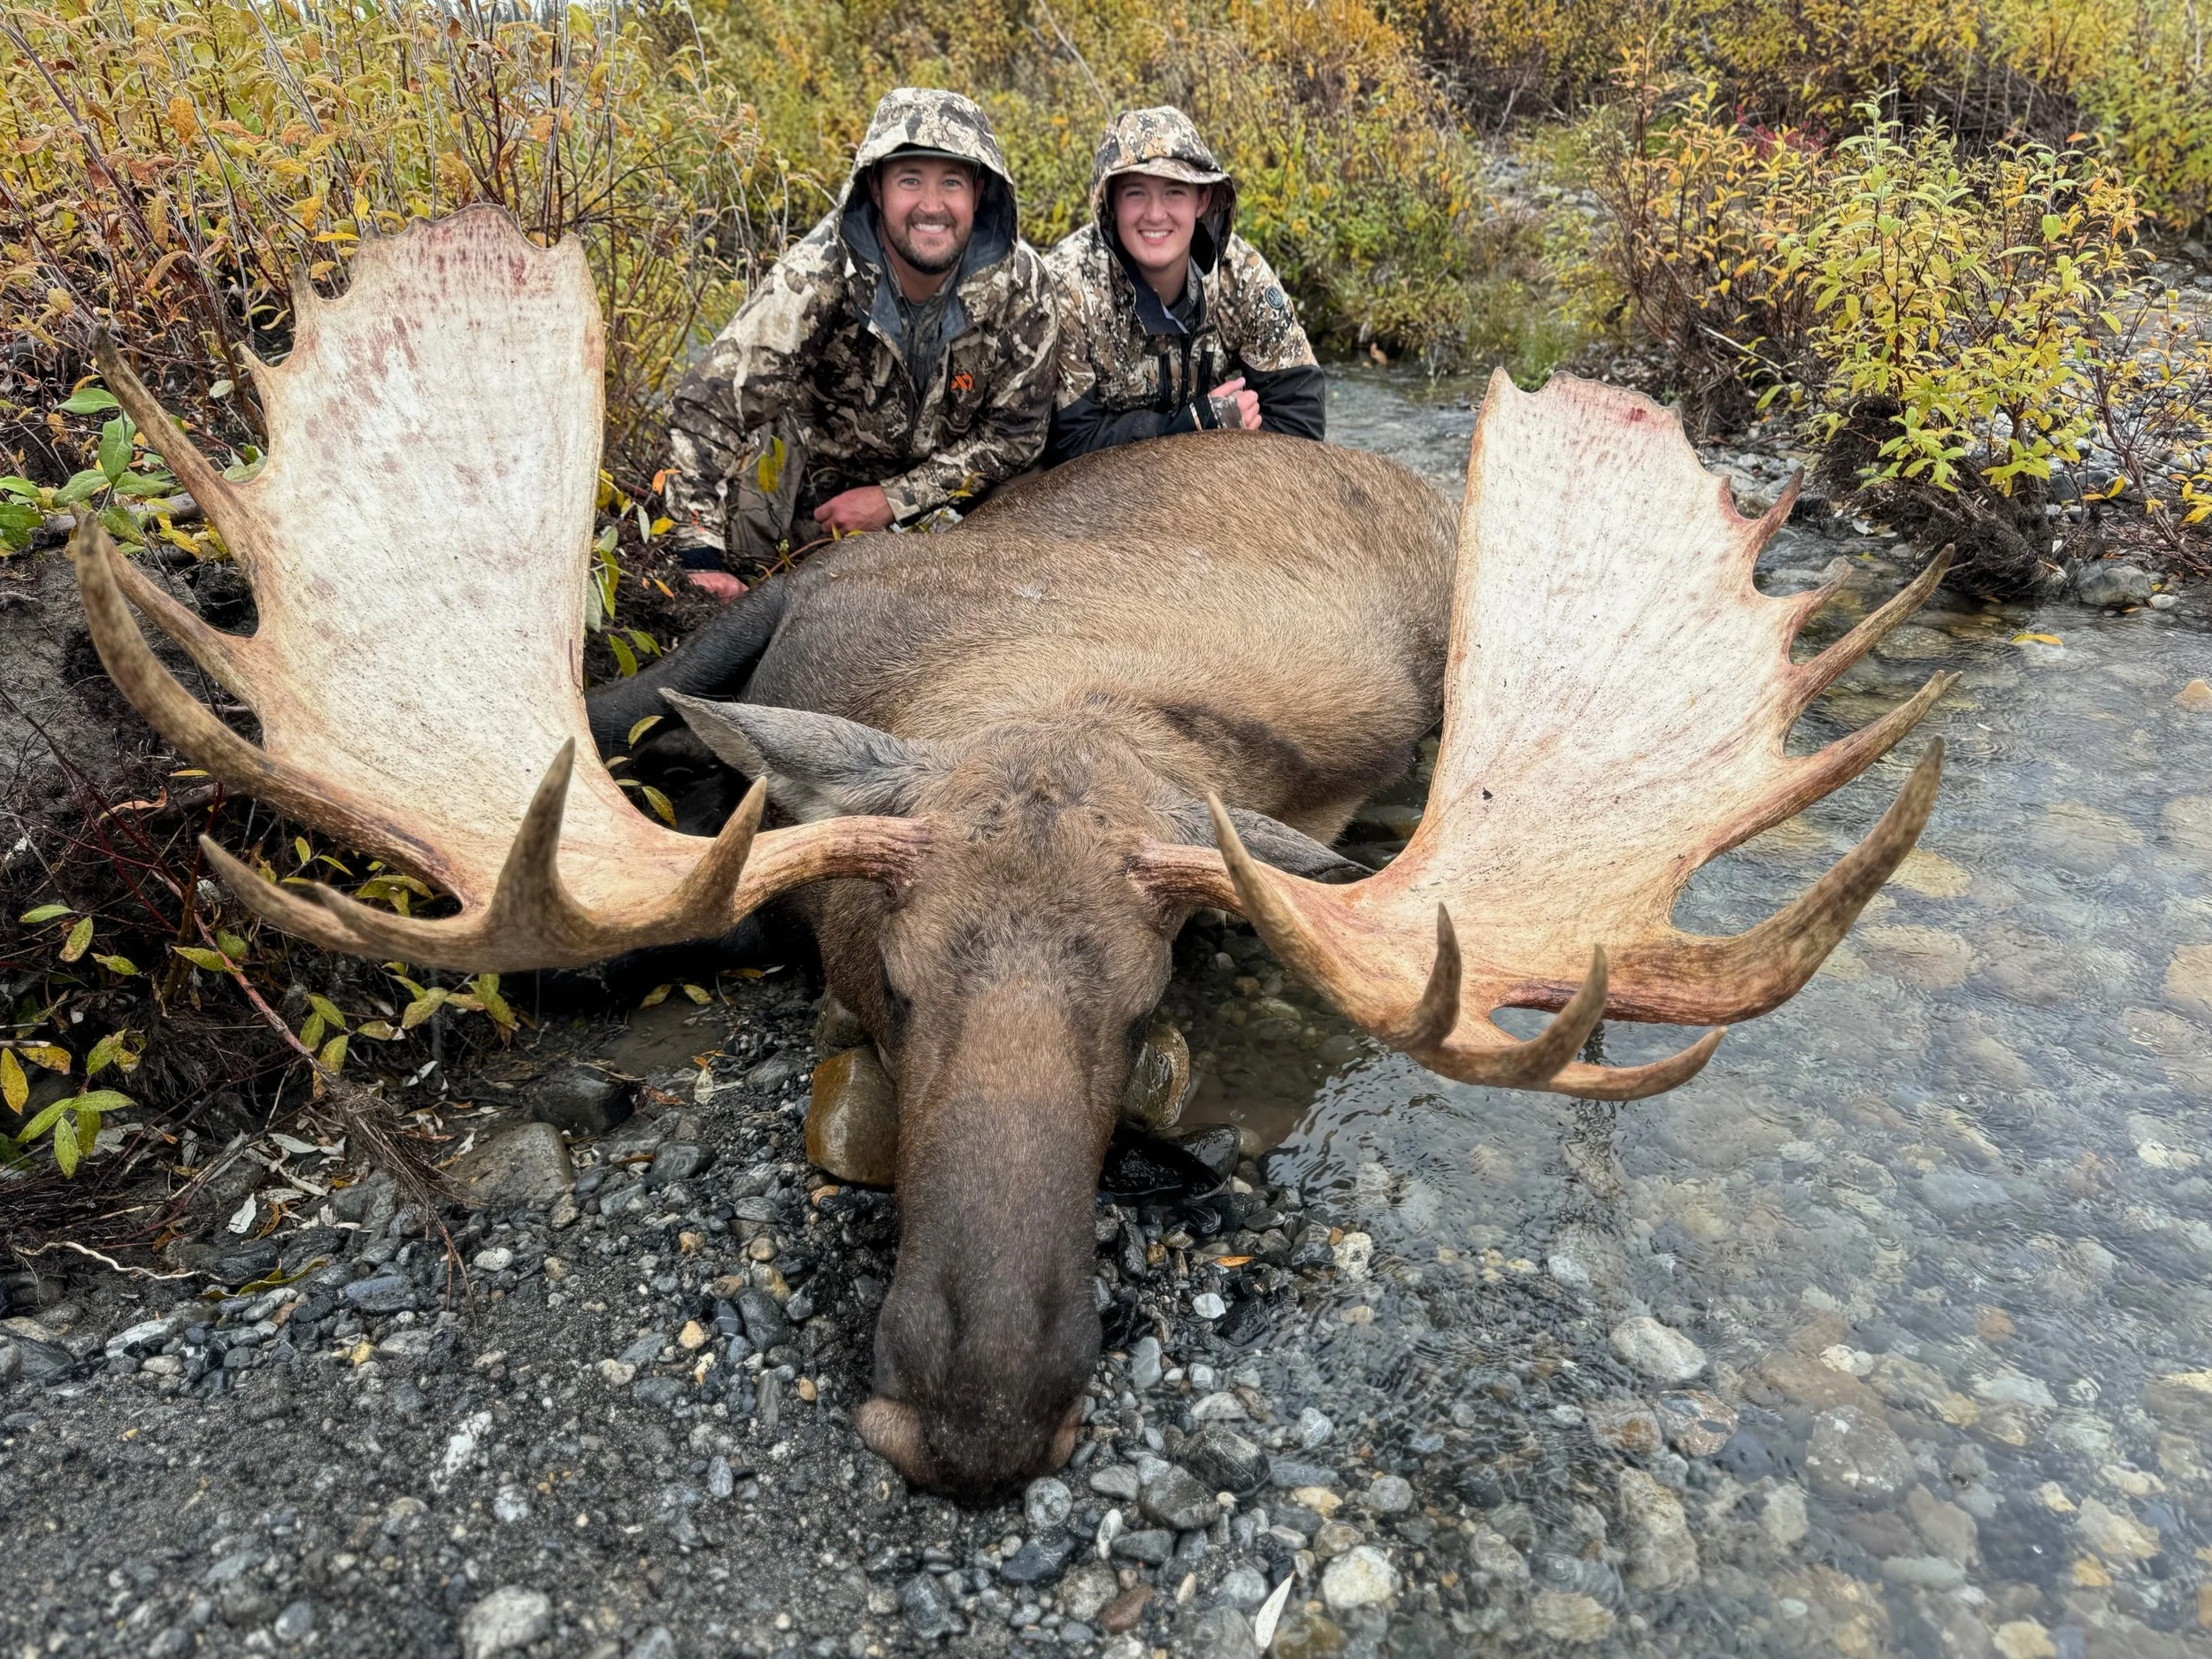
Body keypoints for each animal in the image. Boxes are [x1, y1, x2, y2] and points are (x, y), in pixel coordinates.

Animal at [73, 207, 1953, 1500]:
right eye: (891, 984)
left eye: (1141, 1011)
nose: (975, 1417)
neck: (1034, 688)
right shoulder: (787, 611)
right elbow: (631, 722)